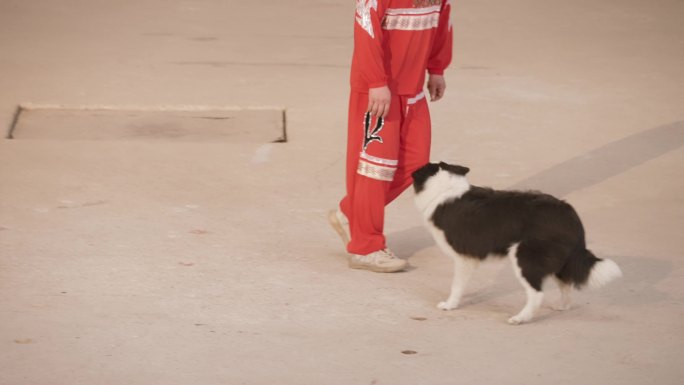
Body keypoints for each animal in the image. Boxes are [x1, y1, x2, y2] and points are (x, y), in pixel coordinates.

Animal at [408, 160, 624, 322]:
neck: (445, 189)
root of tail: (569, 215)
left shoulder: (464, 257)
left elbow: (456, 285)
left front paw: (450, 305)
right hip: (558, 261)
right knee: (566, 284)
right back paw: (561, 307)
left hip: (525, 258)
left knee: (537, 293)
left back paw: (520, 318)